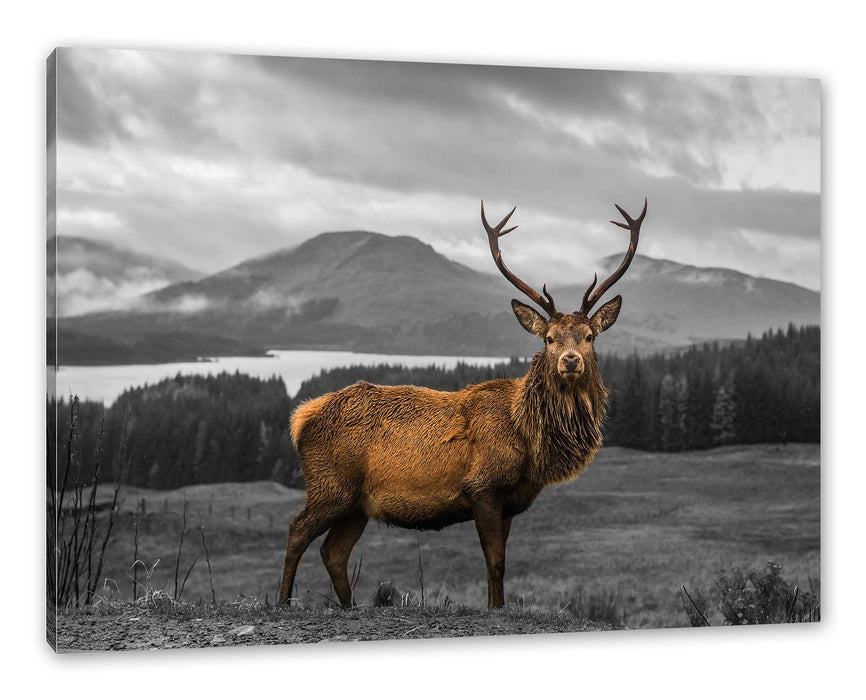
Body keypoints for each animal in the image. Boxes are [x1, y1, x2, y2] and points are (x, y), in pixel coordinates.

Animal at [278, 198, 647, 609]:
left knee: (333, 552)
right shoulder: (482, 486)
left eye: (589, 336)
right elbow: (495, 563)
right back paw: (281, 602)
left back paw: (349, 607)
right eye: (549, 338)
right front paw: (495, 608)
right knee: (296, 531)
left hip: (356, 504)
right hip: (330, 484)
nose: (570, 360)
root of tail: (301, 418)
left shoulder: (509, 501)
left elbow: (499, 564)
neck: (529, 441)